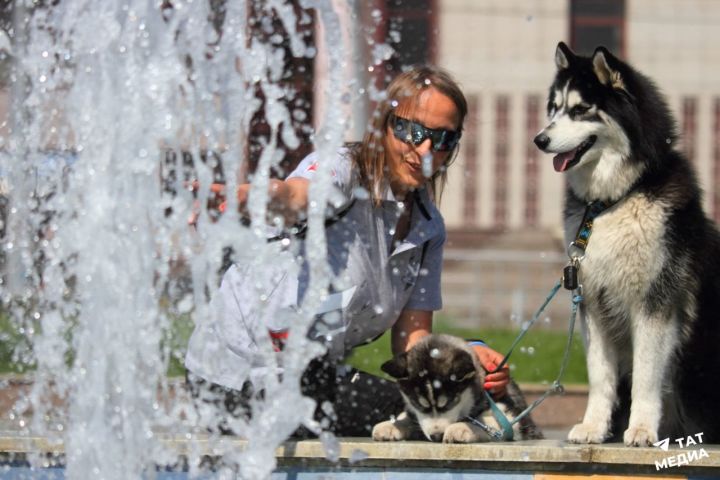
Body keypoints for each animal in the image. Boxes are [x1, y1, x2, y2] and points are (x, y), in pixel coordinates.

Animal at [372, 334, 540, 442]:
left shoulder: (515, 419)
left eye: (448, 403)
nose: (436, 437)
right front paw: (392, 425)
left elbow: (484, 420)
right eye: (418, 404)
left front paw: (461, 428)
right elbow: (409, 417)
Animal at [532, 41, 720, 446]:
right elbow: (601, 377)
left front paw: (642, 430)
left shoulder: (655, 303)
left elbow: (646, 378)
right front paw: (593, 427)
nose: (539, 140)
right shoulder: (593, 304)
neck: (615, 200)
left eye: (581, 109)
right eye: (554, 107)